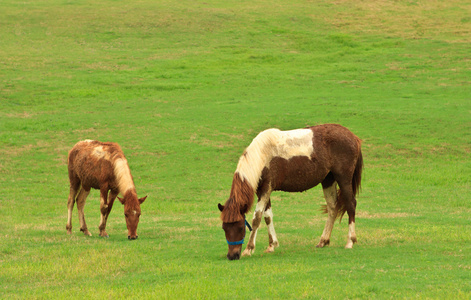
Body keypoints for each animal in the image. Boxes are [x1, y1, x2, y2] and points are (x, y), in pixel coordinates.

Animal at [218, 124, 366, 260]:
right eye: (224, 228)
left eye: (240, 228)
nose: (232, 256)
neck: (262, 156)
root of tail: (353, 137)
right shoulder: (263, 191)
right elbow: (267, 217)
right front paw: (272, 245)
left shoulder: (266, 189)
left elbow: (257, 218)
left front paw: (249, 249)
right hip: (328, 180)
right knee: (332, 208)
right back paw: (323, 241)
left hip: (343, 179)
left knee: (351, 205)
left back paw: (350, 241)